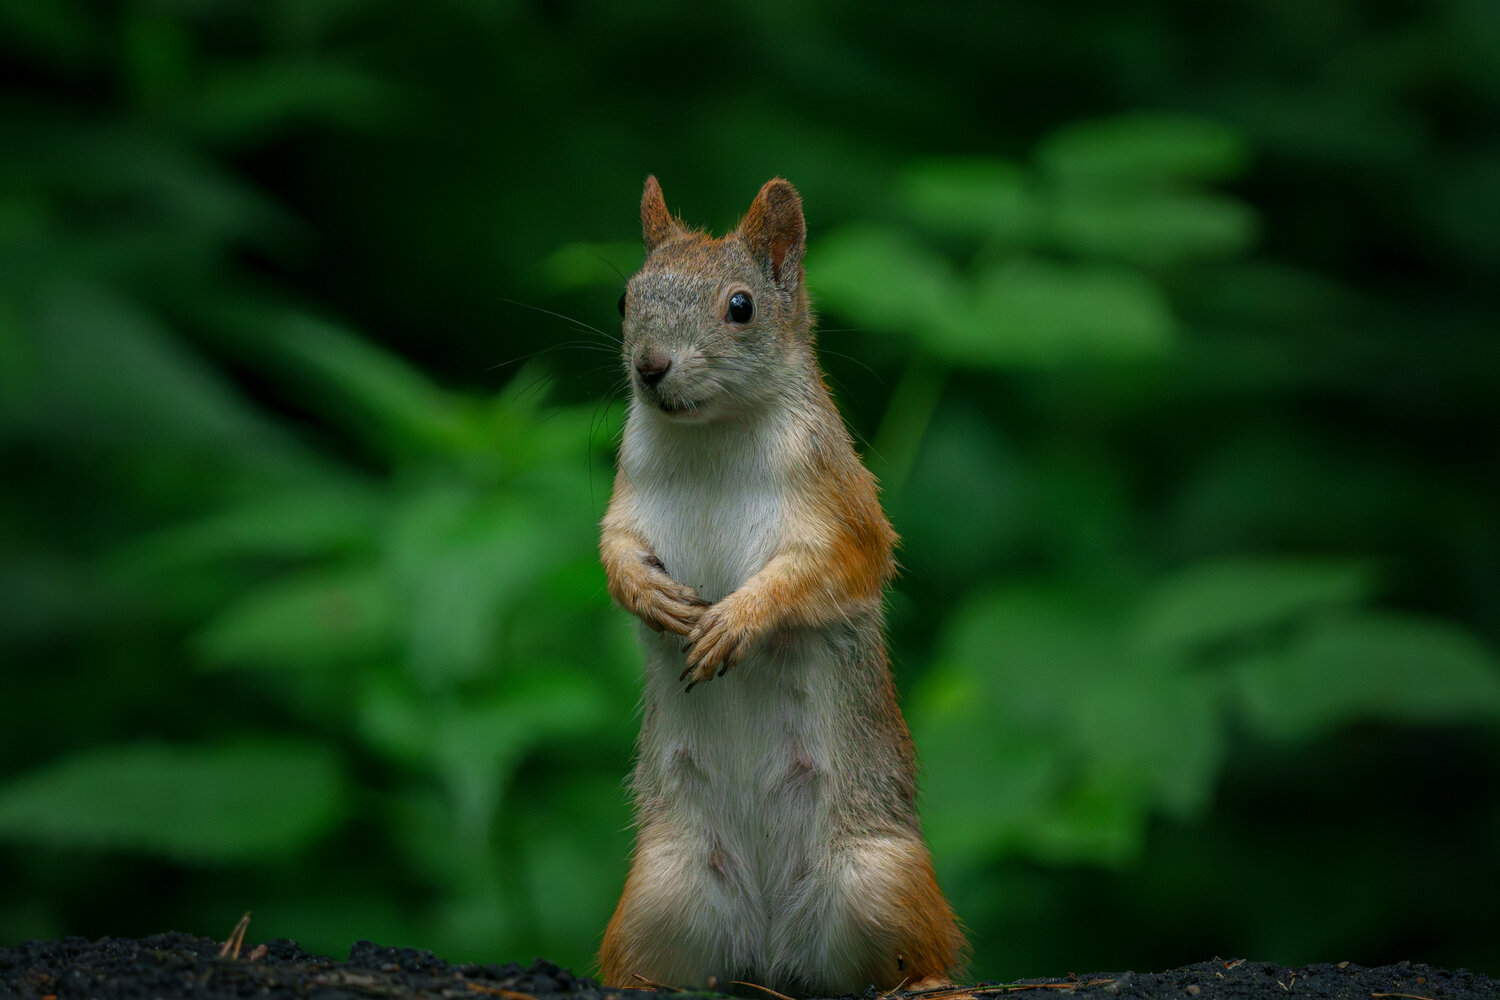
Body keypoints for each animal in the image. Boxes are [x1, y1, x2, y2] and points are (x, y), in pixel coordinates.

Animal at [597, 176, 965, 997]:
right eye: (626, 296)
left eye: (741, 307)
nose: (650, 367)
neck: (710, 435)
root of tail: (772, 946)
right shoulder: (627, 499)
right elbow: (613, 550)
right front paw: (648, 595)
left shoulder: (841, 506)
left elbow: (830, 568)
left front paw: (739, 619)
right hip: (659, 892)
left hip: (879, 878)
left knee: (920, 952)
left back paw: (932, 981)